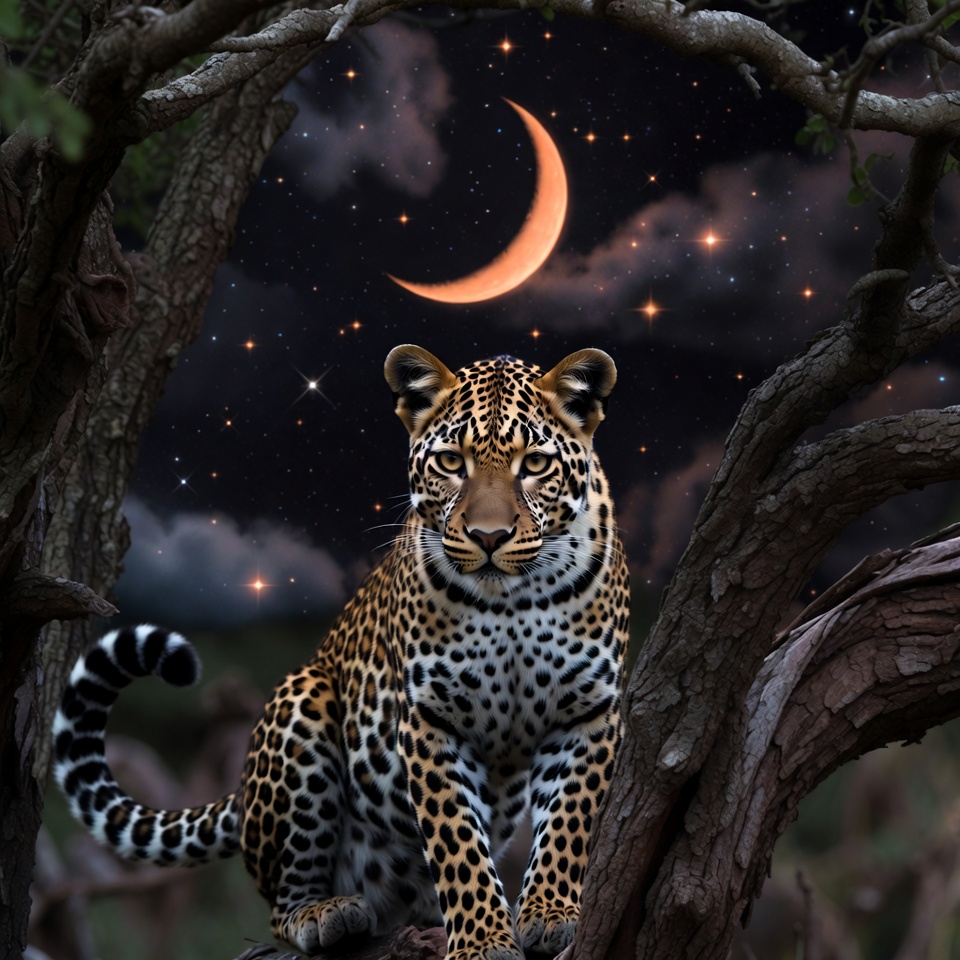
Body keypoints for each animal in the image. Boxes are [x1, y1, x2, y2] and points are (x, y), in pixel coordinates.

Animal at [54, 344, 629, 960]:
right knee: (281, 903)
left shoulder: (589, 711)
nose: (489, 537)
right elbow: (457, 842)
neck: (512, 602)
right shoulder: (430, 719)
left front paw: (550, 912)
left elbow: (569, 819)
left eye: (536, 465)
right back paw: (324, 913)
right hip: (303, 701)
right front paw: (482, 941)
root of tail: (243, 797)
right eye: (452, 462)